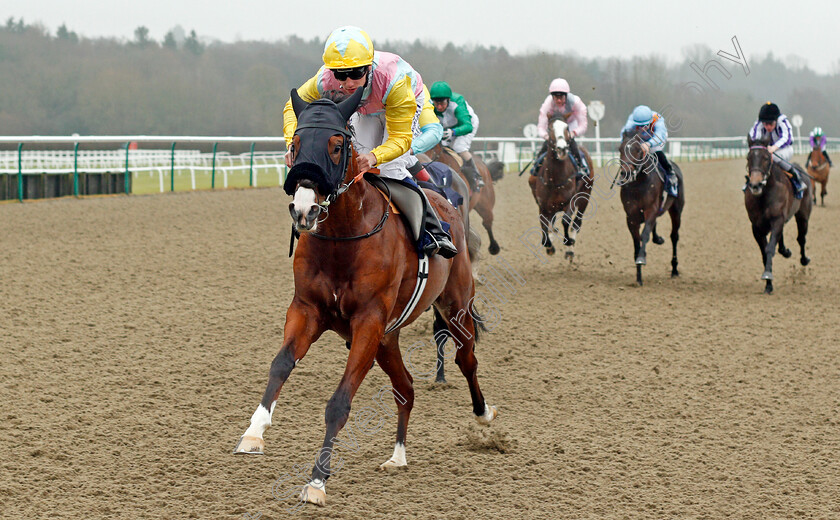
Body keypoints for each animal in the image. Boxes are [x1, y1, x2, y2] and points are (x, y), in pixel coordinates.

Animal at [233, 87, 496, 506]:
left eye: (337, 145)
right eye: (294, 144)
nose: (304, 210)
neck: (343, 238)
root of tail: (449, 202)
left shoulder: (367, 323)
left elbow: (339, 402)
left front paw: (317, 481)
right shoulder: (308, 311)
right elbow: (280, 365)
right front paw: (253, 433)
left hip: (454, 306)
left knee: (465, 358)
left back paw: (483, 415)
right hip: (388, 339)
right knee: (405, 388)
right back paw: (397, 456)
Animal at [528, 116, 592, 258]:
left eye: (567, 128)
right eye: (549, 128)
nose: (562, 148)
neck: (554, 180)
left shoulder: (570, 201)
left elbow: (566, 221)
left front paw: (568, 241)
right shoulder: (543, 204)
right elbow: (544, 223)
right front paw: (549, 244)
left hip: (585, 197)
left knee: (576, 223)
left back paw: (570, 250)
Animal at [612, 128, 684, 286]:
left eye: (638, 150)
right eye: (620, 149)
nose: (626, 173)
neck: (639, 182)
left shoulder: (651, 209)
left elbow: (644, 234)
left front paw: (641, 259)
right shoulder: (631, 215)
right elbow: (636, 241)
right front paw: (638, 277)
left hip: (676, 210)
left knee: (674, 236)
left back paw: (675, 269)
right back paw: (658, 239)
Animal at [744, 136, 812, 294]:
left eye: (766, 158)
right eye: (748, 158)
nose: (755, 185)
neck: (764, 196)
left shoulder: (777, 220)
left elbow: (770, 248)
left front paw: (768, 276)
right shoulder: (756, 227)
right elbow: (764, 252)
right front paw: (768, 284)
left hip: (803, 216)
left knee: (801, 238)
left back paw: (804, 259)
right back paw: (785, 251)